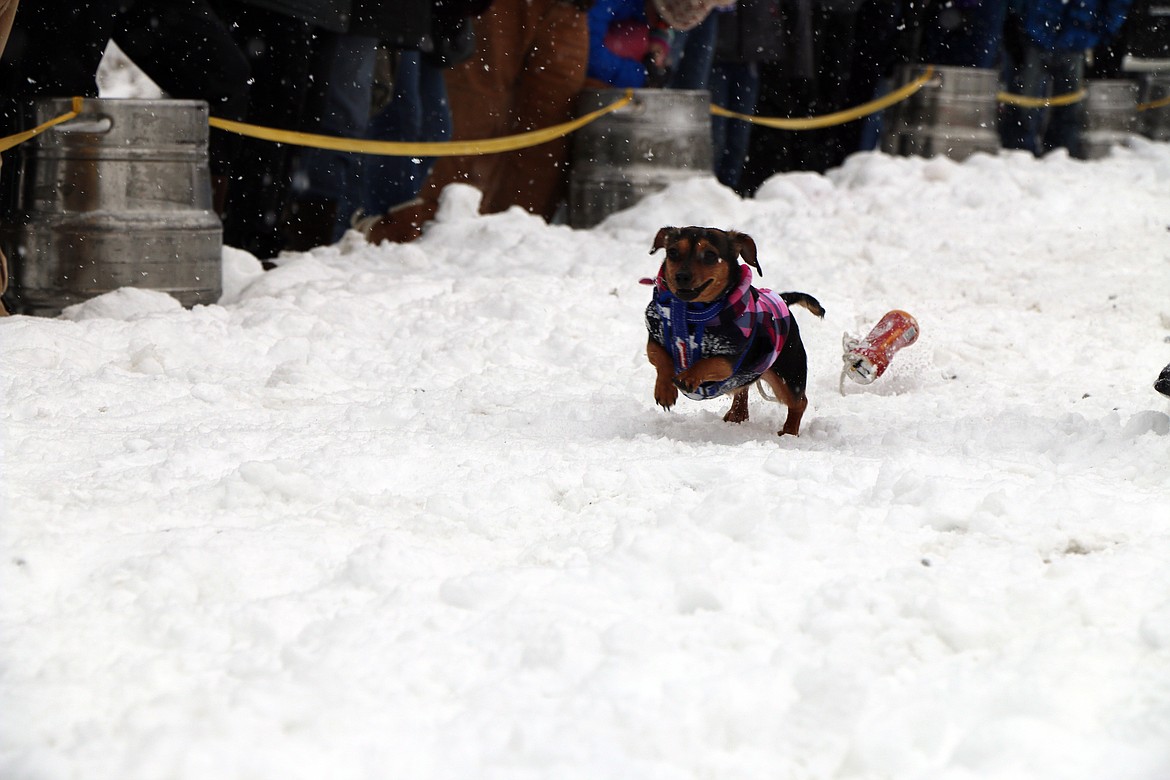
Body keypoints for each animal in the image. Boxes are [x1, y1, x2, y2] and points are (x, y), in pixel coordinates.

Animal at [645, 225, 828, 437]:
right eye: (673, 252)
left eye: (710, 255)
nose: (681, 276)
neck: (690, 313)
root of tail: (782, 300)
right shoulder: (654, 337)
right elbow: (660, 357)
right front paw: (665, 390)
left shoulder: (729, 359)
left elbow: (707, 363)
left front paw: (688, 377)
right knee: (743, 388)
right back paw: (737, 414)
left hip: (787, 373)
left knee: (799, 402)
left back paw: (789, 432)